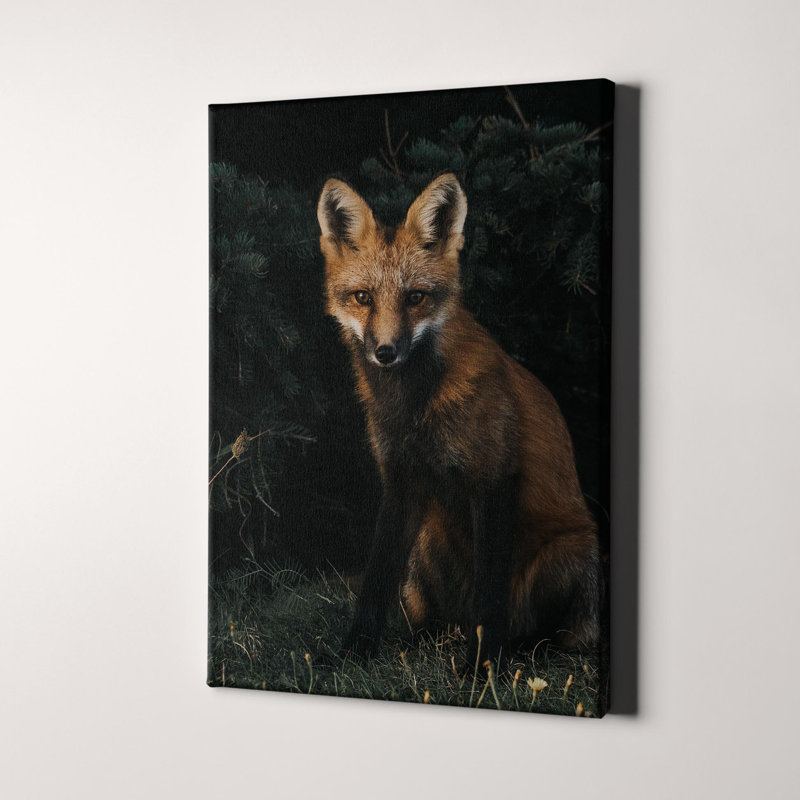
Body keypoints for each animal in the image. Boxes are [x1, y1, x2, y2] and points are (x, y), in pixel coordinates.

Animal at [316, 173, 602, 667]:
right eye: (363, 298)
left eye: (415, 297)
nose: (385, 352)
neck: (415, 408)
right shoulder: (400, 480)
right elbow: (374, 581)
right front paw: (354, 652)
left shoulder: (493, 479)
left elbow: (490, 593)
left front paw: (482, 667)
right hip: (425, 547)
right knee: (433, 618)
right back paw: (427, 639)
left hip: (571, 553)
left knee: (551, 634)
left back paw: (521, 651)